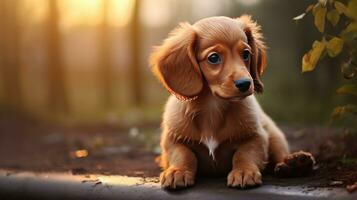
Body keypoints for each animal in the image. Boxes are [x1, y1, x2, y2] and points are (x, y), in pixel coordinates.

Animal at [149, 15, 314, 189]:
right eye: (213, 58)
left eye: (246, 54)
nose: (245, 84)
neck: (213, 107)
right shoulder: (172, 139)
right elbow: (183, 154)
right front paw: (177, 171)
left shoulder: (256, 136)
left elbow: (244, 154)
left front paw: (243, 172)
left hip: (275, 133)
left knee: (279, 153)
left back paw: (296, 163)